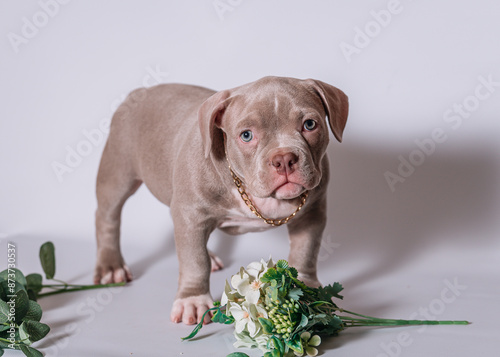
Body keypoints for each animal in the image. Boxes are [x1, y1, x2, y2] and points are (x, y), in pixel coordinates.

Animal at [93, 76, 348, 324]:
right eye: (246, 135)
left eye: (310, 125)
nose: (284, 158)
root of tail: (140, 92)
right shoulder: (190, 214)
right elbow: (195, 261)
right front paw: (193, 300)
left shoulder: (311, 213)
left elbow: (305, 251)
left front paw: (307, 288)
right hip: (117, 172)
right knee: (108, 216)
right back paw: (111, 267)